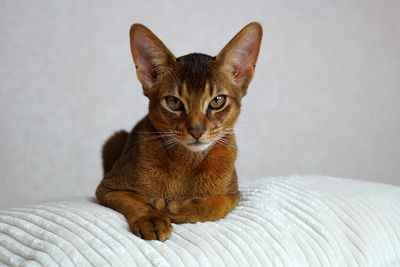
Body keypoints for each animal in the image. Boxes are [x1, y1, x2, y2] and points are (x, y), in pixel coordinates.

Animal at [95, 22, 260, 242]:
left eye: (217, 100)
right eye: (174, 102)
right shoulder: (108, 187)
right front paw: (151, 219)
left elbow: (216, 206)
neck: (188, 163)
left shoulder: (234, 194)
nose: (196, 130)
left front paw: (175, 208)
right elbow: (135, 201)